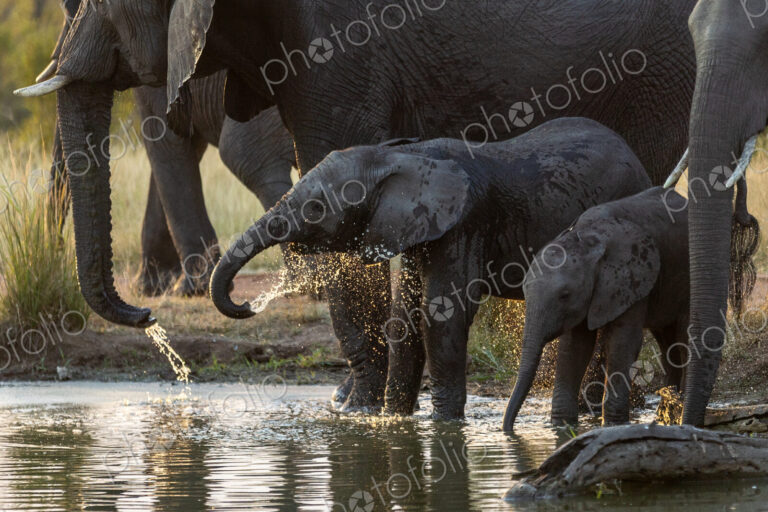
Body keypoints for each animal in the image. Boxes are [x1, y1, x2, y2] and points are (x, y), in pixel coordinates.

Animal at [38, 1, 296, 297]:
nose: (55, 253)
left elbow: (164, 139)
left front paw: (190, 289)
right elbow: (184, 144)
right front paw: (152, 287)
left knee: (245, 157)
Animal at [208, 117, 654, 419]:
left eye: (317, 208)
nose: (246, 305)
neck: (402, 156)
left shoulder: (464, 224)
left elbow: (441, 317)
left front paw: (444, 424)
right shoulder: (415, 228)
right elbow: (404, 317)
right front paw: (393, 421)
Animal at [503, 184, 759, 430]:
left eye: (564, 295)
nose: (508, 429)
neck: (587, 238)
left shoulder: (632, 278)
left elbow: (622, 342)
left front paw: (612, 424)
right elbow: (574, 346)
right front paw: (562, 426)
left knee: (683, 337)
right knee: (668, 344)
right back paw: (667, 408)